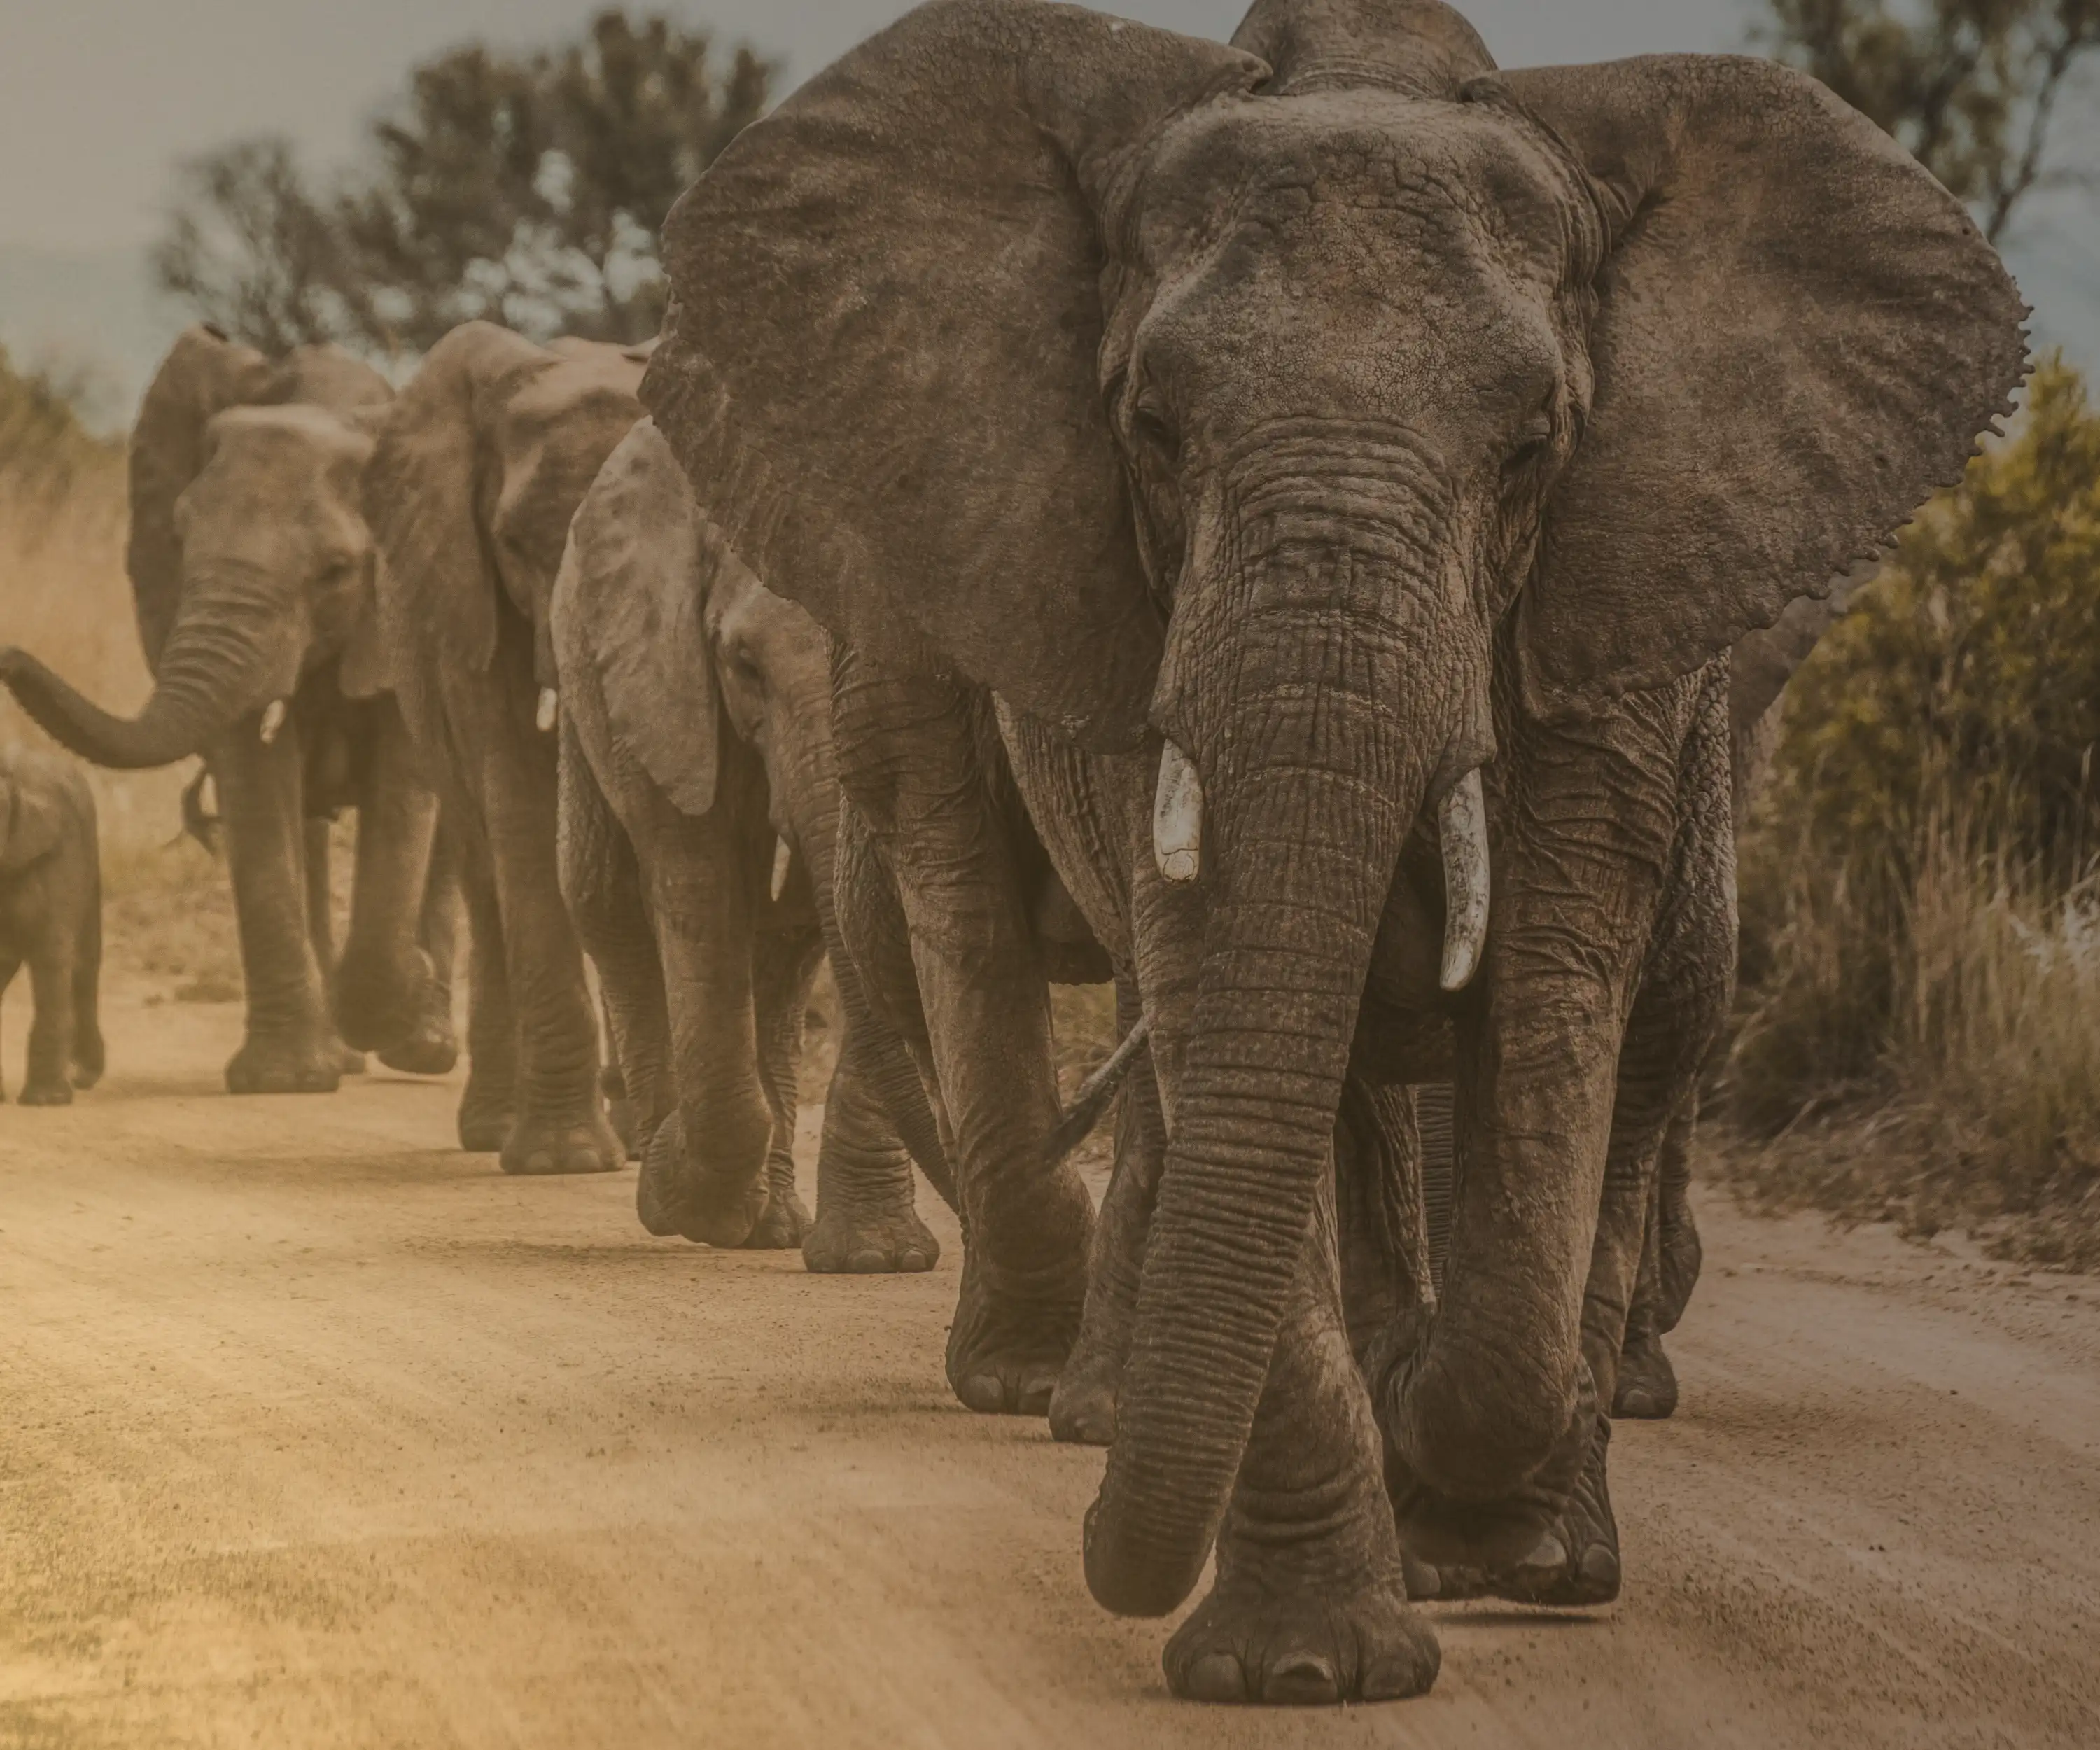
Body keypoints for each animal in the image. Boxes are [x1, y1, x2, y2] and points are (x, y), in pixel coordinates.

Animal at [363, 322, 647, 1175]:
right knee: (485, 867)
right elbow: (520, 800)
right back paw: (497, 1130)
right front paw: (565, 1160)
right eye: (516, 543)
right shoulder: (469, 594)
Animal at [549, 417, 956, 1258]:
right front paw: (683, 1197)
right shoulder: (664, 677)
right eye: (743, 665)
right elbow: (697, 889)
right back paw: (676, 1183)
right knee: (605, 899)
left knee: (788, 947)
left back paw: (770, 1226)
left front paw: (877, 1259)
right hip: (585, 676)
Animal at [641, 0, 2025, 1704]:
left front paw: (1472, 1501)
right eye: (1150, 430)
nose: (1095, 1538)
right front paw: (1304, 1668)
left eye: (1533, 446)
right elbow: (1219, 987)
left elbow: (1554, 999)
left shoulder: (1613, 610)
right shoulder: (1125, 618)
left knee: (1633, 1048)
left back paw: (1521, 1525)